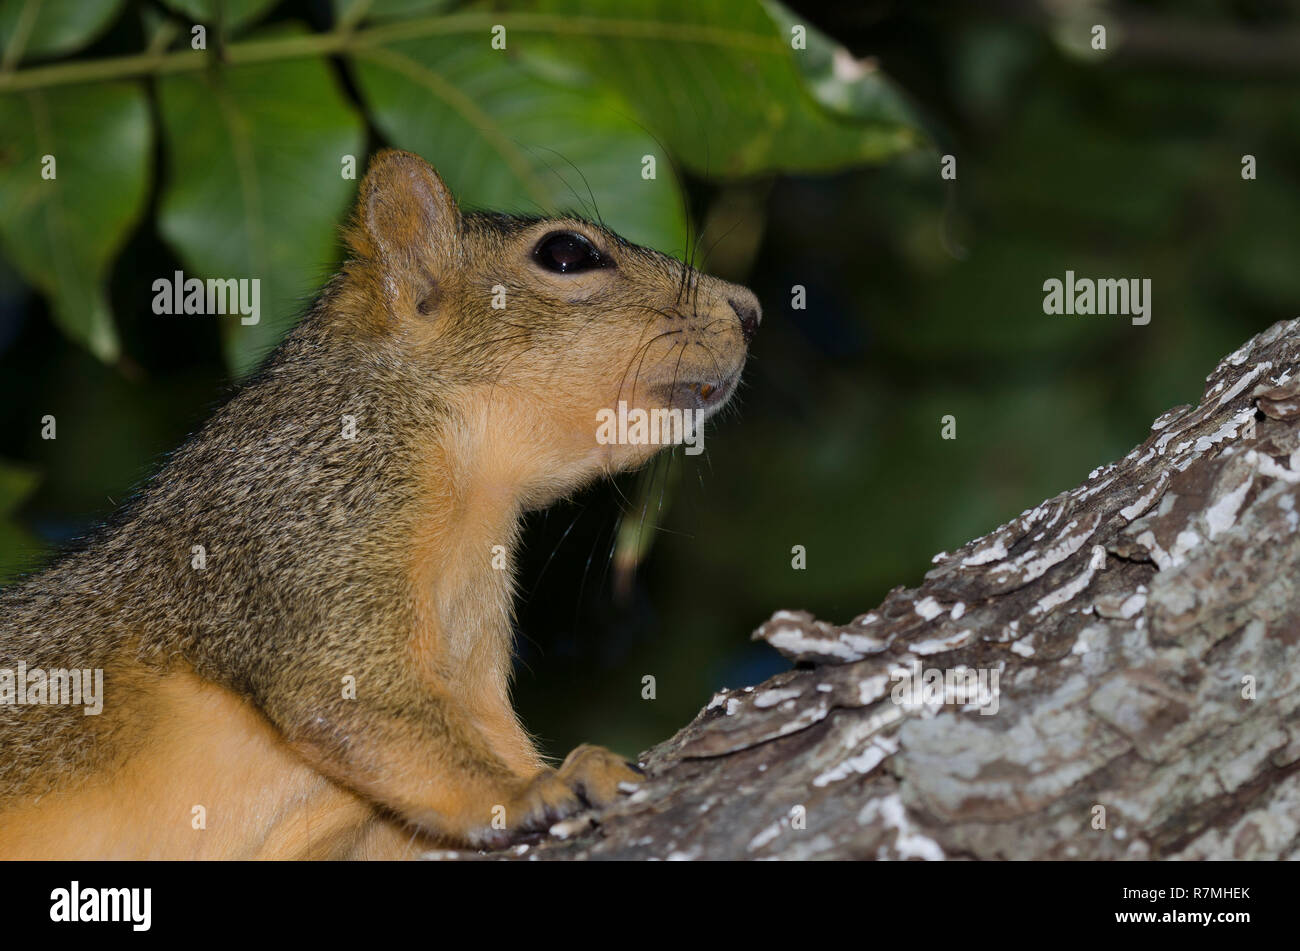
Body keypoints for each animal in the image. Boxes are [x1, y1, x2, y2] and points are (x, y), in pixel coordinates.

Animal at [0, 150, 760, 859]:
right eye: (567, 253)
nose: (750, 310)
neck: (470, 480)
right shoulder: (307, 500)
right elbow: (346, 687)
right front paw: (533, 788)